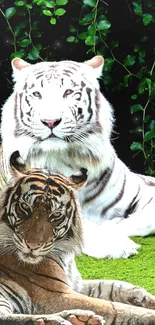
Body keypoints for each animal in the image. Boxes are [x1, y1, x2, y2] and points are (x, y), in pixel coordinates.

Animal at [0, 55, 154, 258]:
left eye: (68, 92)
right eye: (37, 94)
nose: (50, 121)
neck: (65, 158)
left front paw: (114, 225)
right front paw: (117, 244)